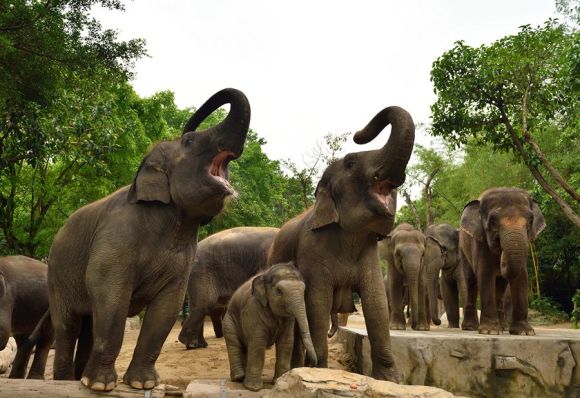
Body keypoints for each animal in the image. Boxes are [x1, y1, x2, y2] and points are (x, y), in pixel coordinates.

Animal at [46, 88, 250, 392]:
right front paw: (100, 386)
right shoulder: (116, 236)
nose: (185, 129)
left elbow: (168, 306)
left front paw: (142, 384)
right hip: (57, 277)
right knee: (67, 327)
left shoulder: (184, 258)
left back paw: (78, 378)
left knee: (88, 325)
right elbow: (109, 294)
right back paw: (66, 382)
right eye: (189, 141)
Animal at [223, 262, 318, 390]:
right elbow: (258, 342)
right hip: (229, 321)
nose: (312, 365)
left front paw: (279, 381)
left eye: (304, 290)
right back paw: (239, 378)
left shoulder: (288, 319)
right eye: (279, 291)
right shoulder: (252, 308)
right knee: (234, 343)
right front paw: (253, 388)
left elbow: (286, 342)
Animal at [270, 105, 414, 382]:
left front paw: (391, 380)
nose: (358, 134)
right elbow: (318, 301)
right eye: (350, 163)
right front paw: (318, 371)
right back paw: (295, 368)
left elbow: (376, 303)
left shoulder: (369, 252)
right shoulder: (312, 250)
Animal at [460, 188, 548, 334]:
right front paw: (489, 331)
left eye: (530, 220)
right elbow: (485, 273)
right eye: (493, 221)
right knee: (471, 281)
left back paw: (504, 327)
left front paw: (524, 332)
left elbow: (521, 276)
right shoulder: (479, 241)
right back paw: (470, 328)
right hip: (463, 249)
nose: (502, 259)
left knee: (500, 286)